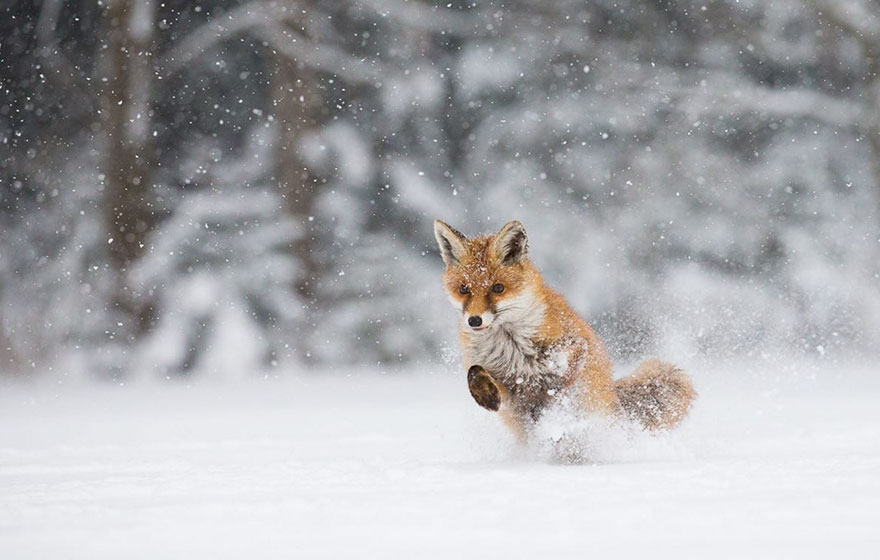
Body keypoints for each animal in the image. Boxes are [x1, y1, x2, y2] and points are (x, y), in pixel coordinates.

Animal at [434, 219, 695, 442]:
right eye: (463, 289)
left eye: (498, 288)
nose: (474, 320)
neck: (511, 345)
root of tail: (613, 393)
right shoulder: (511, 393)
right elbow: (475, 373)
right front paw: (485, 395)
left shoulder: (577, 347)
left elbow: (561, 383)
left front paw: (554, 407)